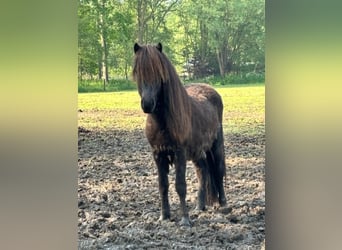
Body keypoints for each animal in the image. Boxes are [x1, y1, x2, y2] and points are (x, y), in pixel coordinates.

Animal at [132, 43, 227, 227]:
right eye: (138, 72)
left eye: (159, 72)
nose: (147, 104)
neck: (163, 122)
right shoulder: (158, 154)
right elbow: (163, 185)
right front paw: (164, 216)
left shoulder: (179, 152)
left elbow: (180, 186)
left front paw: (184, 219)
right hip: (198, 152)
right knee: (203, 172)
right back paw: (200, 206)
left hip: (216, 145)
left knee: (218, 171)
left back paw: (224, 204)